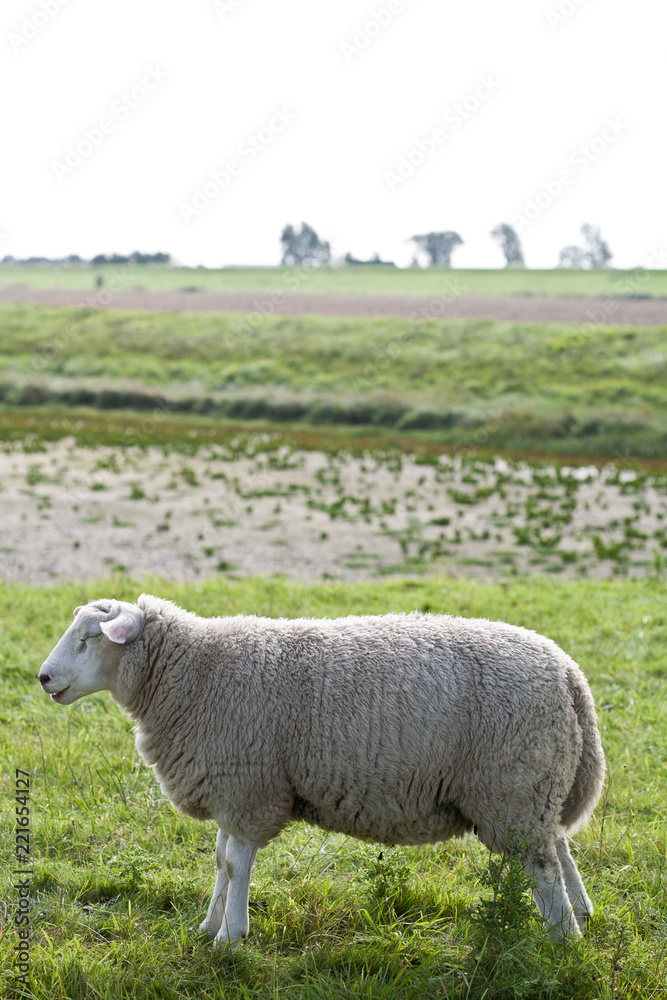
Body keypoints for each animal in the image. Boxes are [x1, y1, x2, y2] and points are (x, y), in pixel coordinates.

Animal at [38, 594, 605, 947]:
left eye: (90, 637)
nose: (44, 678)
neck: (193, 673)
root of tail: (569, 672)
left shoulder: (251, 789)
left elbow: (236, 865)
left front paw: (231, 937)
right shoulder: (229, 789)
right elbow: (221, 860)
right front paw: (208, 925)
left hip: (511, 786)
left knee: (543, 867)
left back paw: (560, 941)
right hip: (535, 785)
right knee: (557, 846)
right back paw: (580, 913)